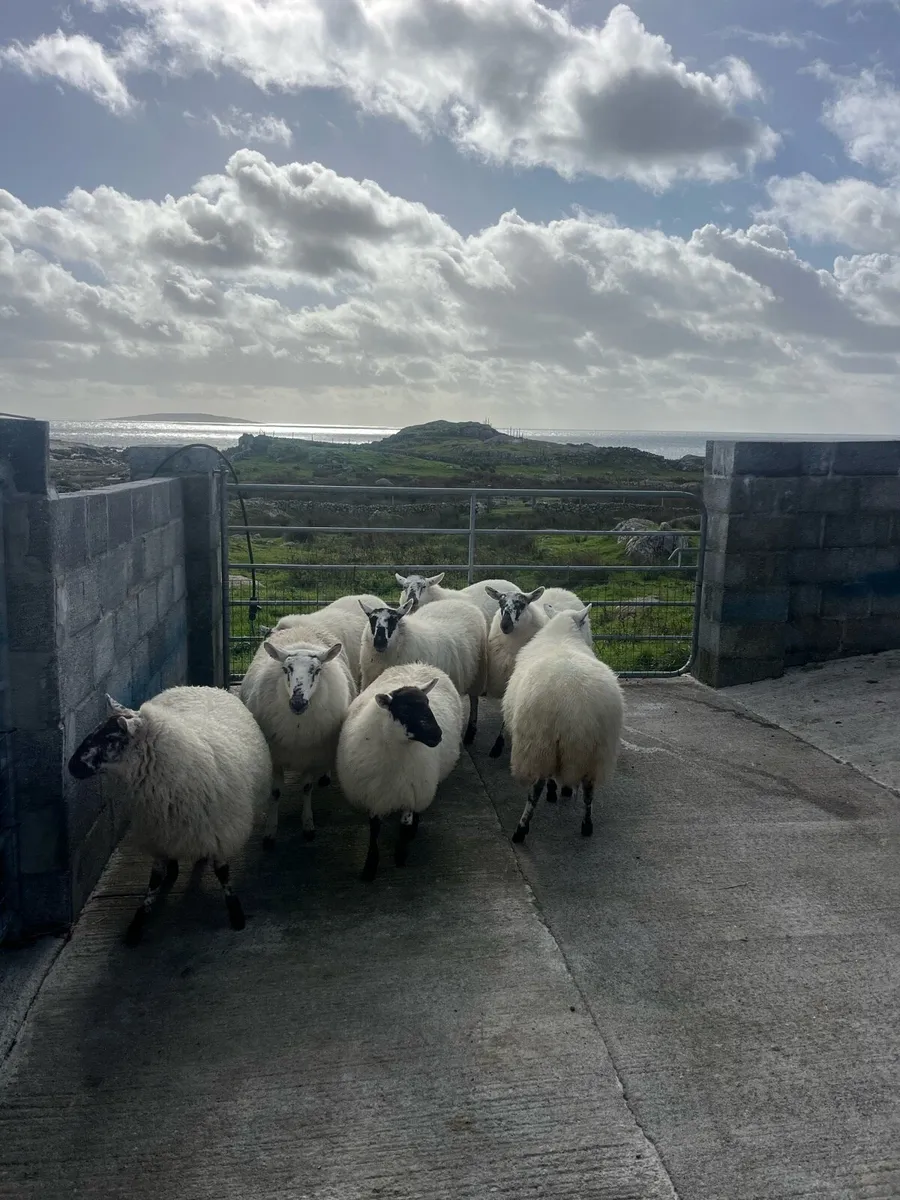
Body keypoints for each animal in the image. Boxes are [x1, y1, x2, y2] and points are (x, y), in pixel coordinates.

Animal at [67, 687, 271, 945]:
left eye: (111, 739)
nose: (71, 766)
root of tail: (201, 687)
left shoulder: (220, 832)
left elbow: (223, 873)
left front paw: (235, 913)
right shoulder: (157, 832)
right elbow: (155, 878)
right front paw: (138, 922)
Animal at [240, 629, 356, 844]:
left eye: (317, 670)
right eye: (286, 669)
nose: (297, 702)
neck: (298, 727)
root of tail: (302, 627)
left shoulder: (310, 754)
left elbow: (307, 788)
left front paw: (308, 825)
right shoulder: (275, 756)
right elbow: (276, 793)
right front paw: (270, 831)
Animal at [336, 664, 465, 880]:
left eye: (428, 704)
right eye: (404, 709)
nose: (437, 735)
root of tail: (419, 664)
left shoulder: (410, 793)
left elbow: (405, 826)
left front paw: (401, 856)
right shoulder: (374, 795)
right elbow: (374, 831)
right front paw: (369, 868)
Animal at [359, 598, 487, 745]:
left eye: (394, 620)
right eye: (372, 619)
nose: (380, 642)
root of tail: (459, 601)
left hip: (478, 674)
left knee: (474, 700)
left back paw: (470, 732)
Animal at [502, 606, 623, 844]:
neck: (562, 636)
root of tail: (576, 709)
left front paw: (554, 791)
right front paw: (565, 790)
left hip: (539, 744)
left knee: (536, 788)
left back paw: (521, 829)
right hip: (597, 750)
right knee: (589, 788)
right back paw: (587, 825)